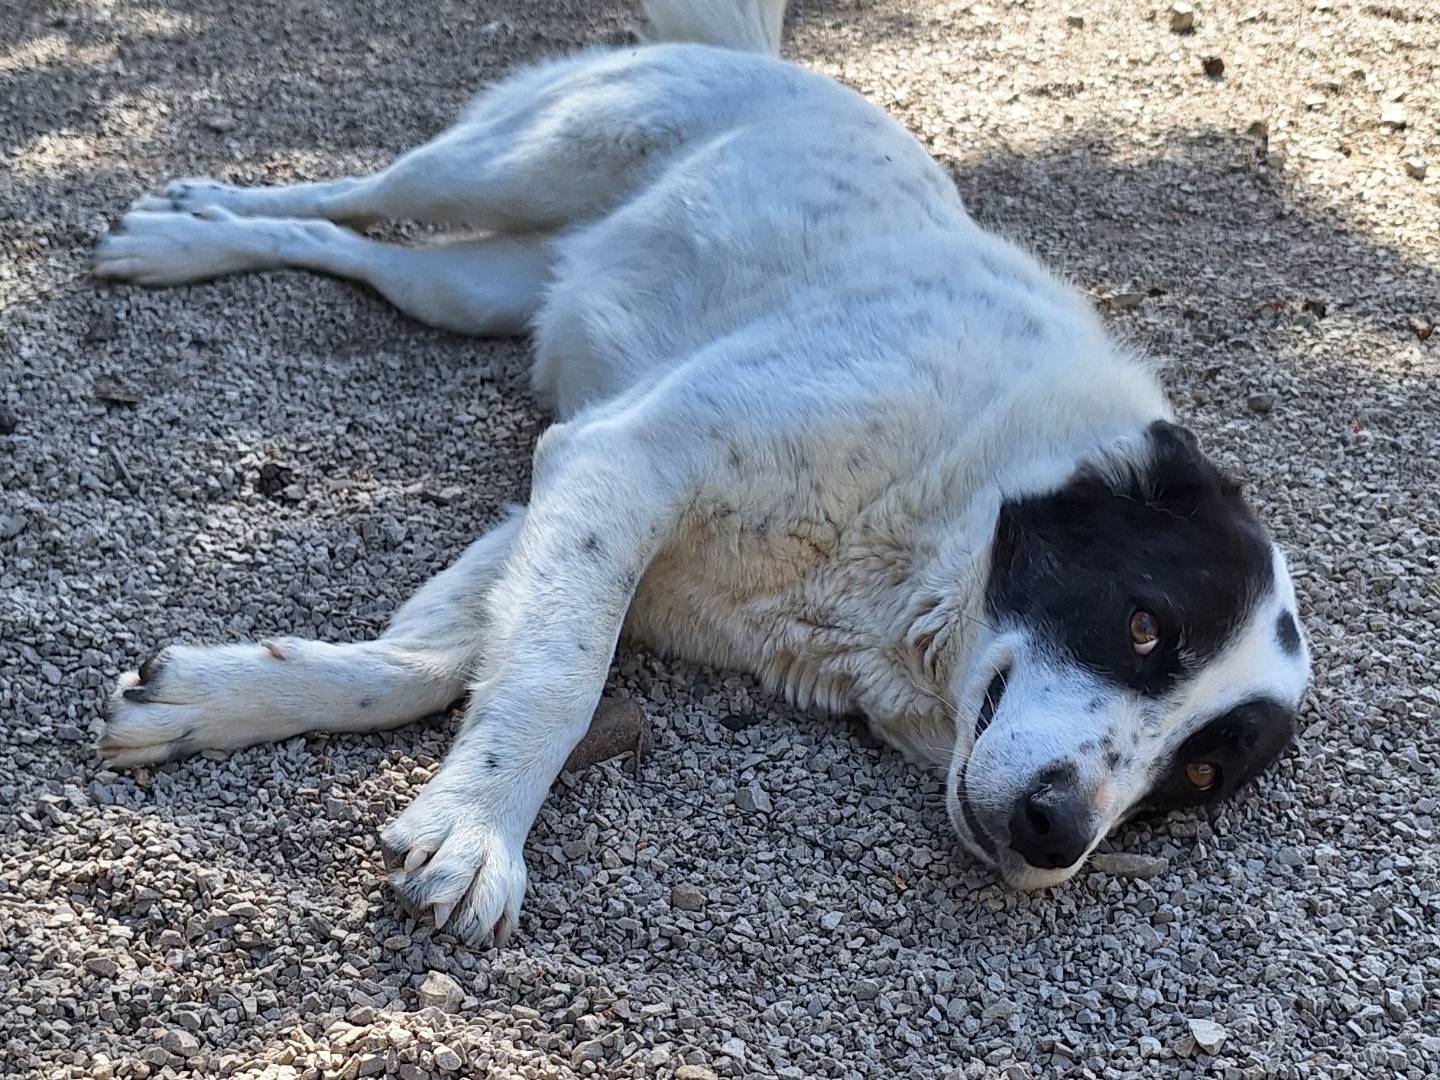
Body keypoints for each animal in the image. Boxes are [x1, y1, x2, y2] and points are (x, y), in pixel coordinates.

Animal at [87, 0, 1307, 944]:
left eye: (1199, 776)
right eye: (1144, 626)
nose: (1060, 834)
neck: (950, 513)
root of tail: (786, 67)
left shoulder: (575, 488)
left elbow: (427, 666)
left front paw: (212, 701)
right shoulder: (626, 459)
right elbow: (557, 676)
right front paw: (482, 832)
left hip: (487, 289)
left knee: (369, 259)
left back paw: (199, 238)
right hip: (517, 160)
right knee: (356, 194)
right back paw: (184, 226)